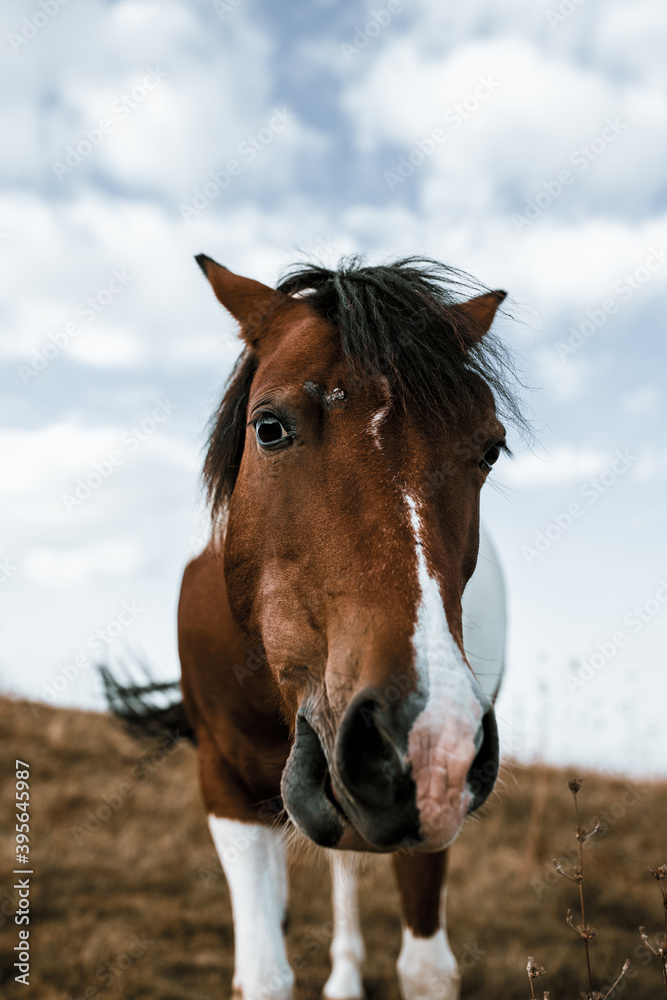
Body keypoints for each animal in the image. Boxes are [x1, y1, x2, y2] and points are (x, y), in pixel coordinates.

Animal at [107, 254, 521, 1000]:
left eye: (491, 450)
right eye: (268, 427)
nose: (422, 743)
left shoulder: (434, 809)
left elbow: (426, 968)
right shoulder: (226, 790)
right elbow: (264, 974)